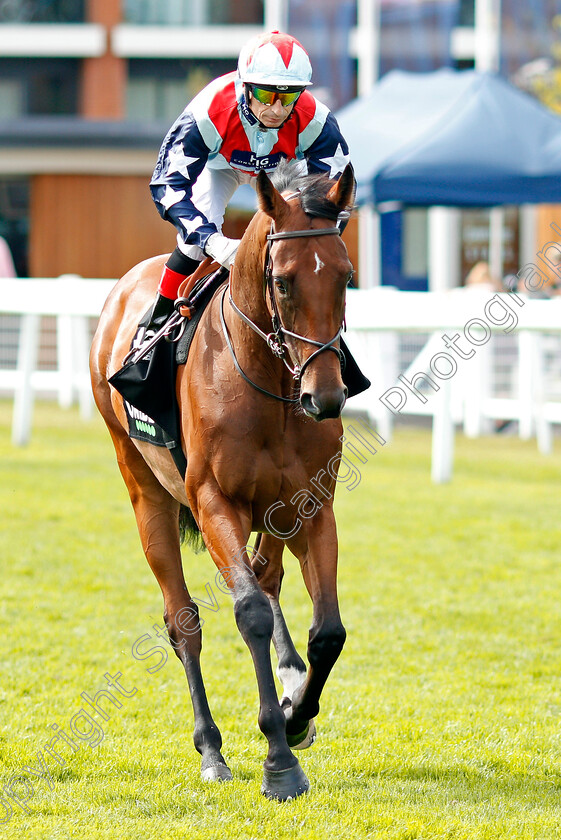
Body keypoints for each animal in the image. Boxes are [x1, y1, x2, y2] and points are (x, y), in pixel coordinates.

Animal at [90, 159, 356, 800]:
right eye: (282, 282)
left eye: (347, 277)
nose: (325, 397)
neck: (272, 388)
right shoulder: (214, 503)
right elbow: (249, 612)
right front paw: (278, 759)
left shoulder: (313, 505)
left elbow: (328, 630)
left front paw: (296, 715)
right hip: (146, 491)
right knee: (184, 620)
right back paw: (210, 746)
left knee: (268, 573)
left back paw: (289, 680)